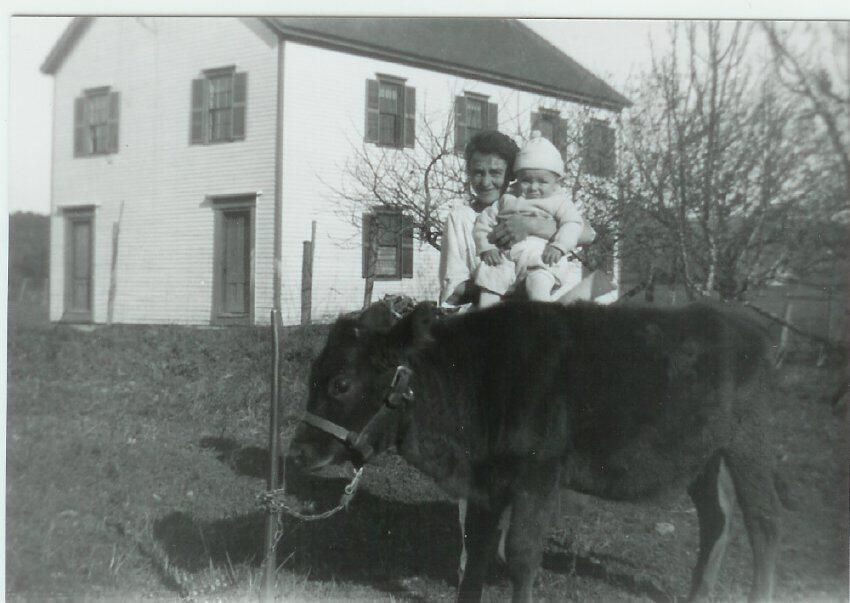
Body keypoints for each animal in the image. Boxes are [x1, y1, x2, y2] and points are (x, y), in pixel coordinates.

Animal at [289, 301, 782, 602]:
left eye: (341, 383)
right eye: (313, 376)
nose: (296, 453)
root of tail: (752, 324)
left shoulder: (537, 476)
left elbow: (521, 556)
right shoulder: (485, 484)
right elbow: (478, 551)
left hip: (751, 446)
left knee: (763, 524)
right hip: (704, 457)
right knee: (718, 518)